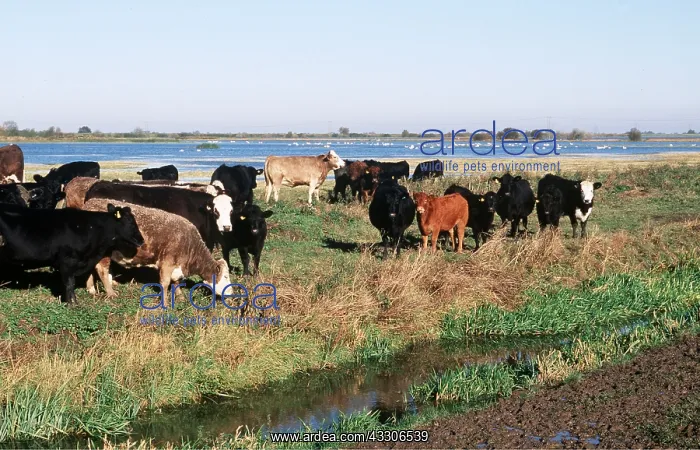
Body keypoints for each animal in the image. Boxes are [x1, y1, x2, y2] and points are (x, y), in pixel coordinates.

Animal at [82, 199, 230, 299]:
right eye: (226, 276)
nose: (231, 292)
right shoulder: (167, 262)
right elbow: (165, 282)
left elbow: (176, 281)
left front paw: (180, 296)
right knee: (102, 270)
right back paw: (111, 293)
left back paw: (91, 290)